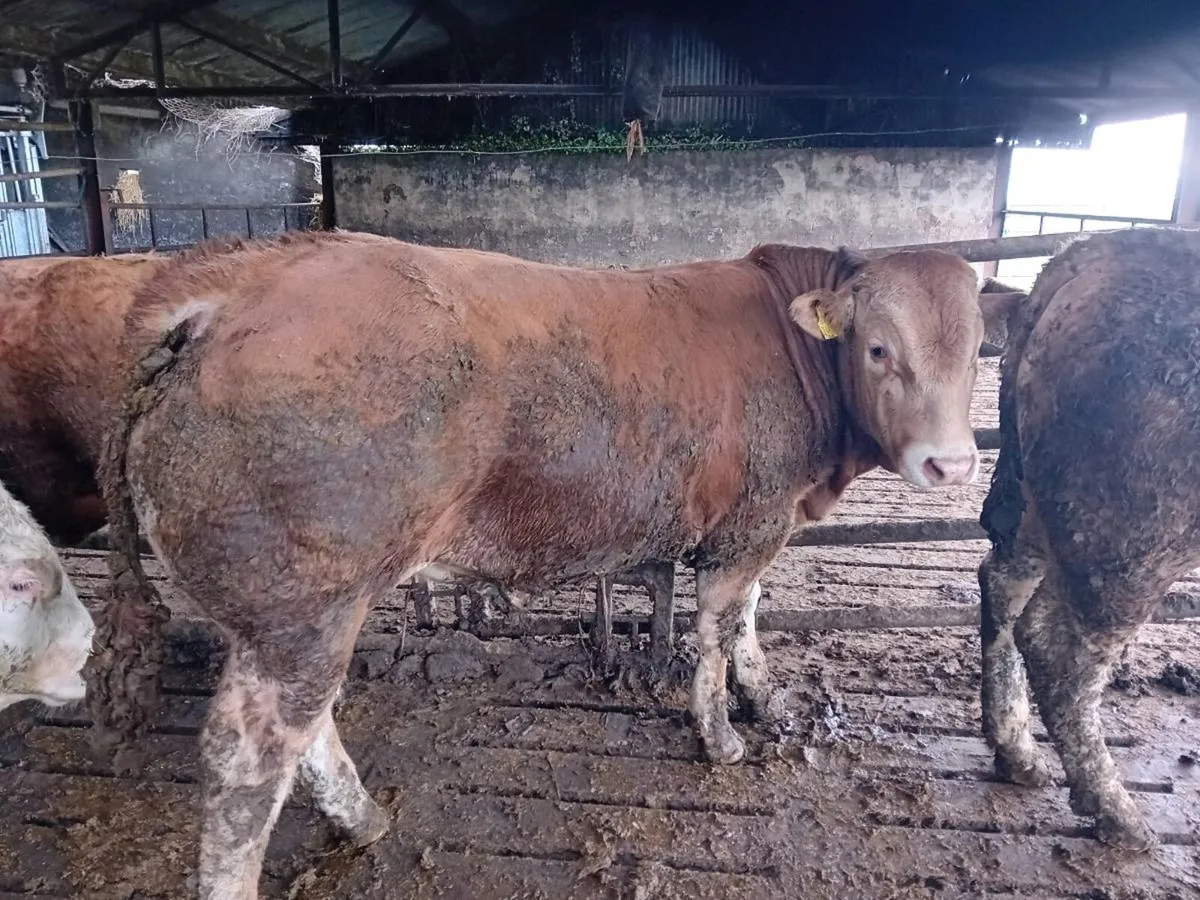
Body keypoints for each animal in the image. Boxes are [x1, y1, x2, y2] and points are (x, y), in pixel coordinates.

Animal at [98, 230, 1014, 898]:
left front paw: (766, 696)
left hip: (289, 613)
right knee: (247, 764)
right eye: (877, 348)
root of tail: (224, 291)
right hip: (302, 605)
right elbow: (718, 626)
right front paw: (721, 734)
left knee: (305, 728)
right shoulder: (750, 522)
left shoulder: (763, 524)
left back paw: (361, 819)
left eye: (976, 348)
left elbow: (751, 615)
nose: (950, 465)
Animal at [978, 227, 1200, 850]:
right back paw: (1116, 813)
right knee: (1064, 654)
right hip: (1133, 537)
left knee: (1003, 585)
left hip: (1040, 503)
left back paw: (1019, 754)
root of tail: (1087, 253)